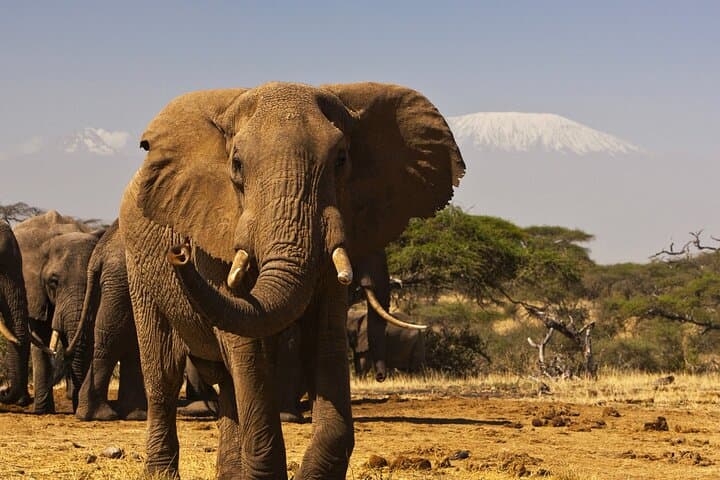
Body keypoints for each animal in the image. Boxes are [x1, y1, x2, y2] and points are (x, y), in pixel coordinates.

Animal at [119, 81, 464, 478]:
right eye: (236, 165)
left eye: (341, 159)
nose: (179, 252)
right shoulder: (215, 241)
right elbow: (246, 345)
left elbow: (324, 339)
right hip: (138, 267)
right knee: (163, 374)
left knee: (228, 384)